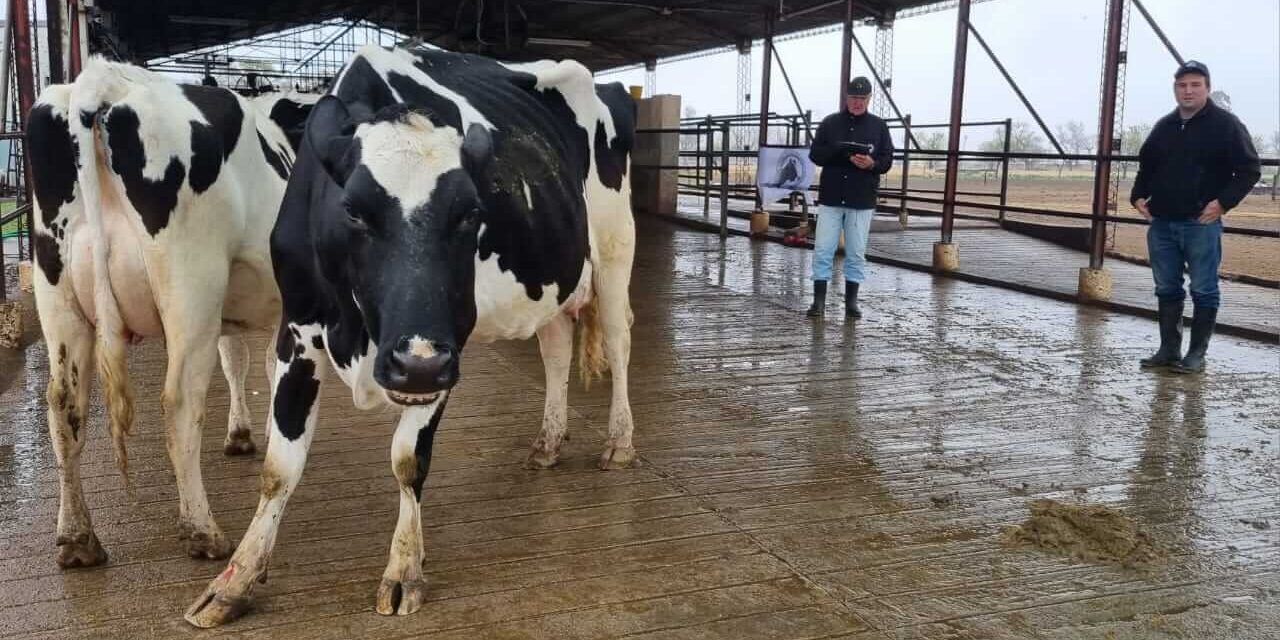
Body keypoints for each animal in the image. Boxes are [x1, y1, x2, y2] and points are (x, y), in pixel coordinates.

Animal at [26, 58, 313, 567]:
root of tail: (104, 80)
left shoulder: (234, 308)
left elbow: (239, 361)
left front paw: (241, 433)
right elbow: (264, 367)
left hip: (56, 290)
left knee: (63, 405)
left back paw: (78, 539)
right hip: (191, 283)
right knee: (180, 401)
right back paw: (202, 530)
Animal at [185, 44, 637, 627]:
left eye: (471, 212)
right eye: (352, 210)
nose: (415, 364)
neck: (358, 331)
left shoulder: (444, 346)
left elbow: (407, 459)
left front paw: (404, 570)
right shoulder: (299, 326)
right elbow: (279, 466)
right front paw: (235, 579)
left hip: (615, 245)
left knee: (620, 342)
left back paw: (620, 441)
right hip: (552, 277)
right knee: (556, 349)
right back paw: (548, 442)